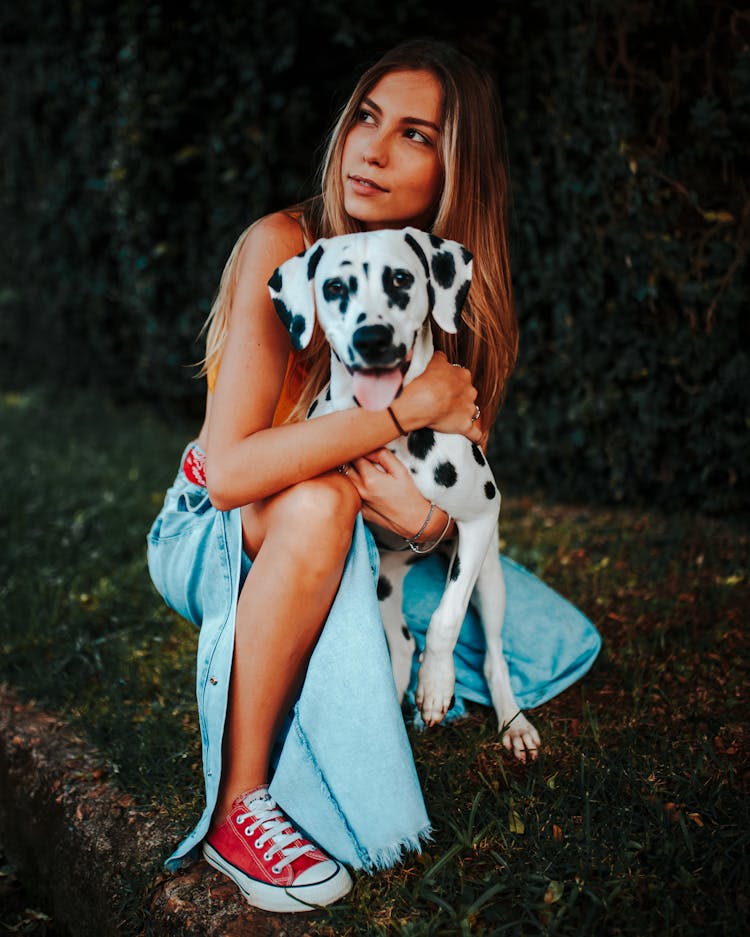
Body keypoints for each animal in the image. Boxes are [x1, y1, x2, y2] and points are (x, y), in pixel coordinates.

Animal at [270, 227, 540, 760]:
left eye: (400, 279)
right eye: (334, 287)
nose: (371, 339)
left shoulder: (480, 520)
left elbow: (444, 619)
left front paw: (435, 687)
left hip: (490, 577)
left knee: (493, 654)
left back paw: (512, 721)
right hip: (384, 585)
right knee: (399, 642)